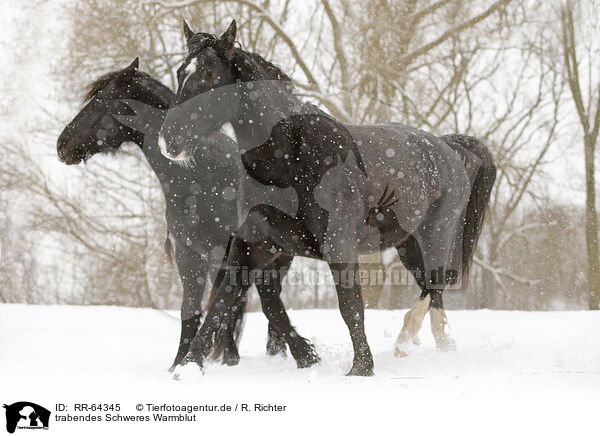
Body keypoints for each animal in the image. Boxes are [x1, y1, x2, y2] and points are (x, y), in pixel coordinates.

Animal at [56, 57, 310, 372]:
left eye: (103, 102)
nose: (62, 145)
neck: (199, 177)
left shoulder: (228, 255)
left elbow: (229, 305)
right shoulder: (189, 253)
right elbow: (191, 308)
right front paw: (181, 363)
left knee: (267, 302)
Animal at [158, 19, 496, 374]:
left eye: (210, 75)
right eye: (181, 72)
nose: (169, 139)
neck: (292, 159)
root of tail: (446, 147)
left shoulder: (339, 244)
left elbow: (350, 306)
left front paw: (361, 368)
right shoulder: (252, 246)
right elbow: (223, 302)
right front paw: (186, 367)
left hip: (434, 236)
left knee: (434, 285)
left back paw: (408, 342)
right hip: (407, 244)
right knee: (434, 292)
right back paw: (429, 347)